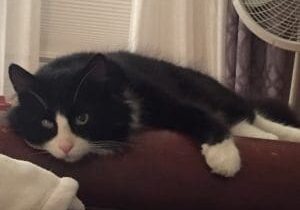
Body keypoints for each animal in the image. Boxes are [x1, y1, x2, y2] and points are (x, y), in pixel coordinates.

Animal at [7, 51, 300, 177]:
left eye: (82, 118)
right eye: (46, 123)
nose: (65, 147)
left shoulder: (161, 96)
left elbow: (200, 115)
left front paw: (224, 158)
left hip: (212, 91)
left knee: (251, 114)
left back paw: (283, 136)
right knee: (245, 123)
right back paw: (266, 138)